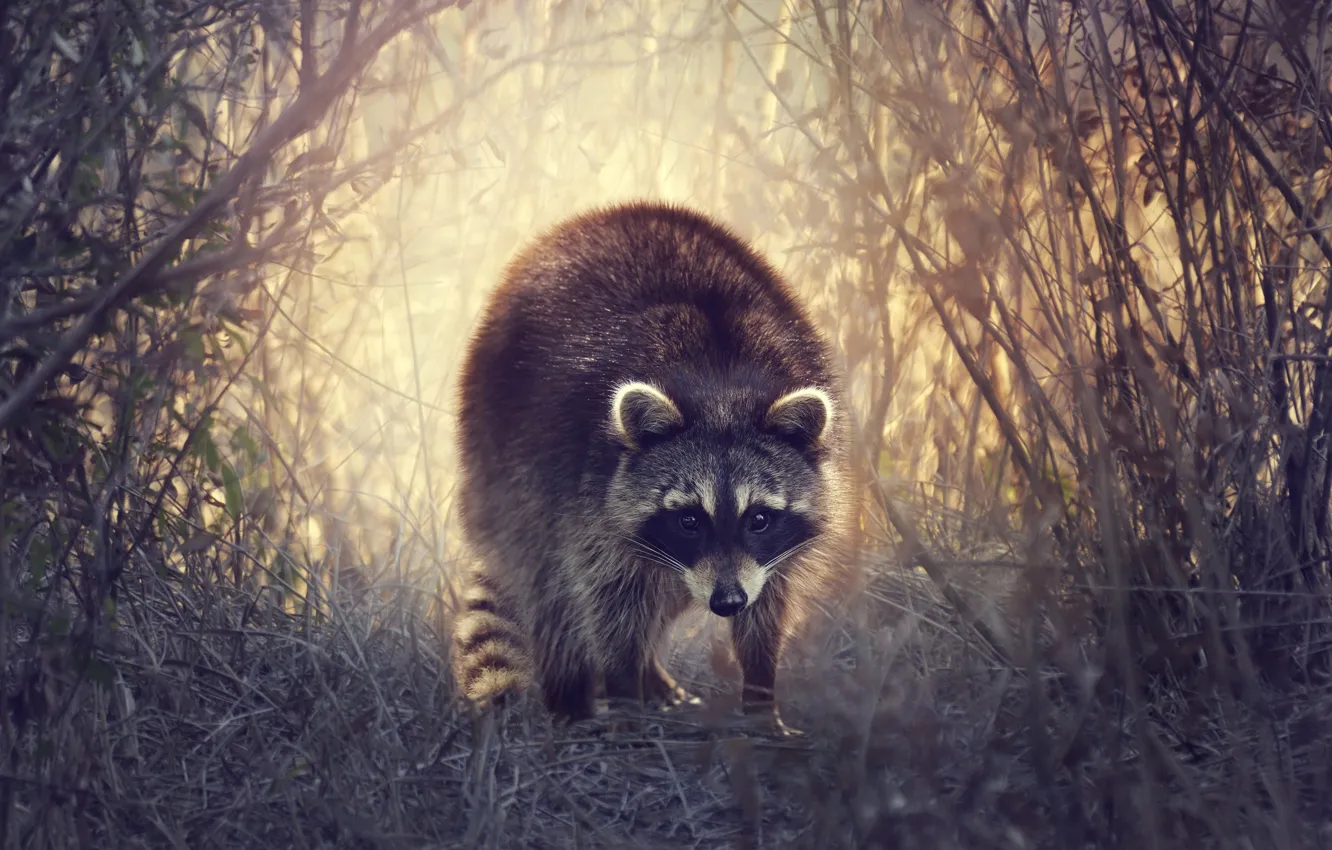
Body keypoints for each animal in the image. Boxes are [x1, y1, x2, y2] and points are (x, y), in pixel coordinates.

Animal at [450, 201, 853, 727]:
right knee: (551, 587)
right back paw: (572, 699)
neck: (720, 386)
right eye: (689, 519)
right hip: (500, 454)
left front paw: (760, 691)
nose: (727, 602)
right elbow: (607, 596)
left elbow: (769, 602)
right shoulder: (584, 487)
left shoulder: (771, 551)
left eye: (760, 518)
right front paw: (623, 689)